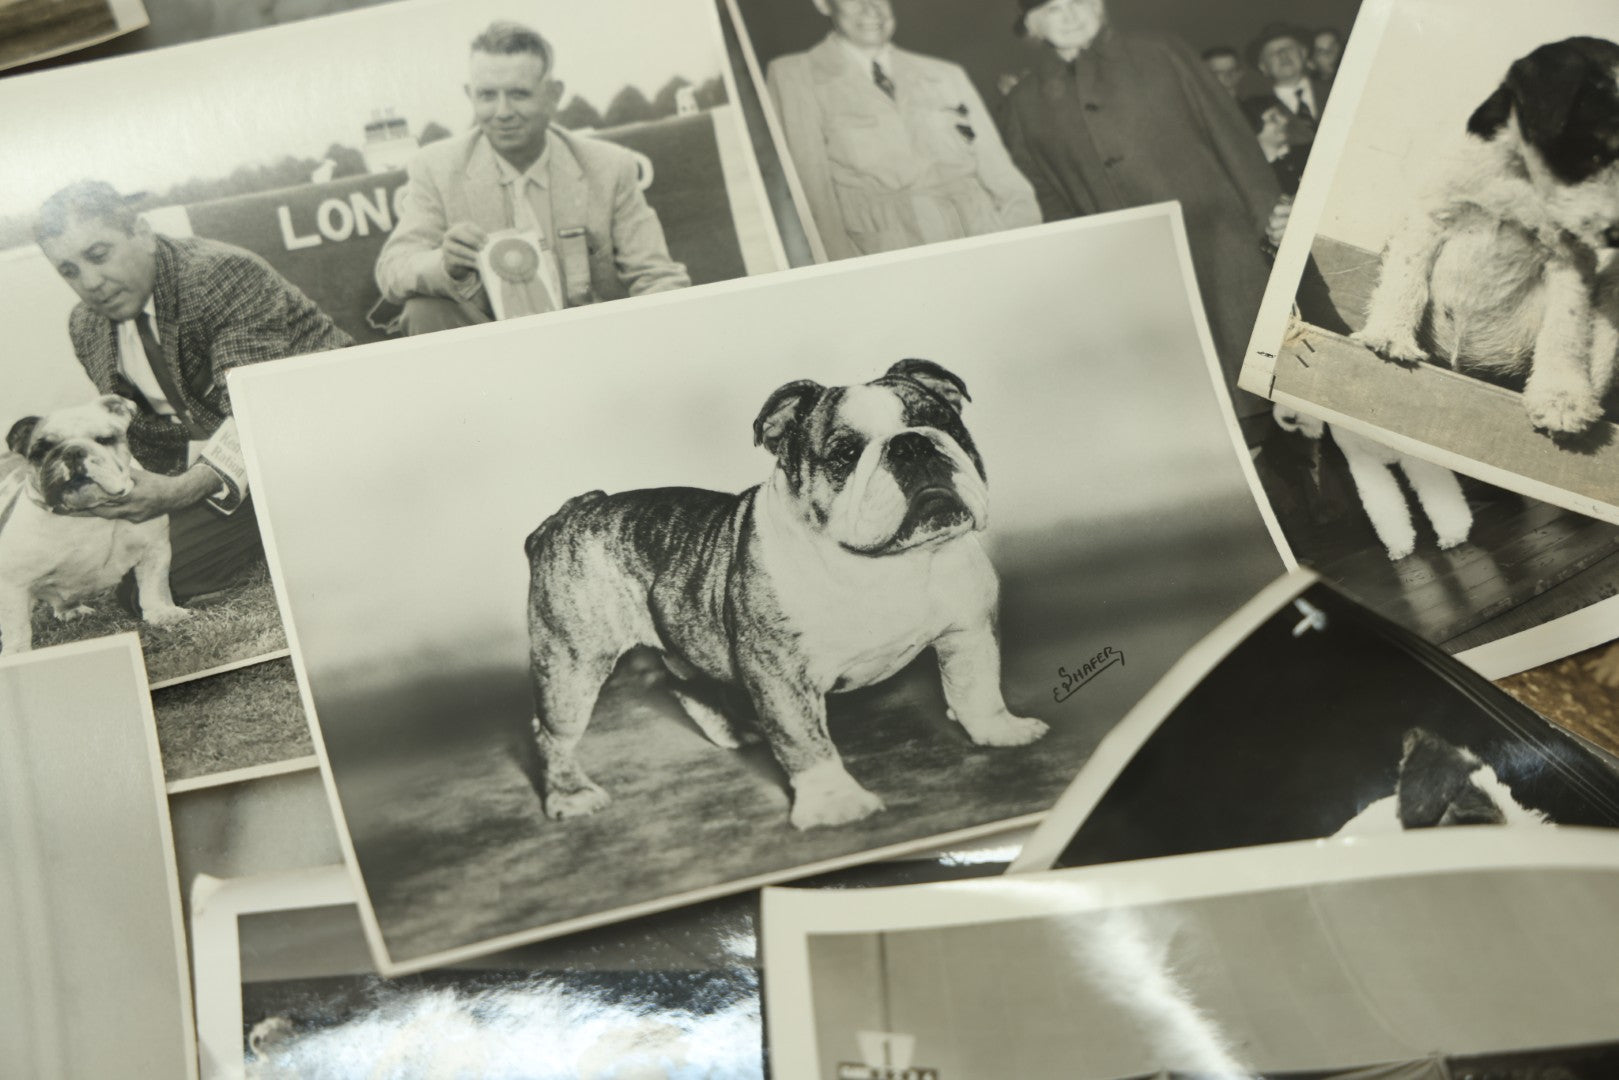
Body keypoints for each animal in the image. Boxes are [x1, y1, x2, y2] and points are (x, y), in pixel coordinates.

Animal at [1353, 35, 1619, 437]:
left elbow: (1565, 332)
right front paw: (1389, 333)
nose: (1617, 233)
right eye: (1593, 153)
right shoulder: (1431, 215)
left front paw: (1560, 397)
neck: (1522, 177)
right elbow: (1406, 279)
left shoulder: (1570, 262)